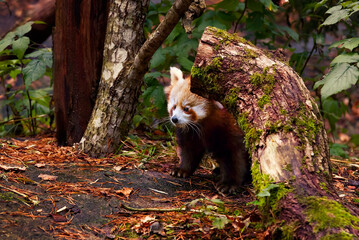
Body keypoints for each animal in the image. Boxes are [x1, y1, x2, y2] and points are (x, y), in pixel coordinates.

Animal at [166, 66, 250, 194]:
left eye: (186, 108)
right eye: (174, 106)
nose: (174, 119)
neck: (205, 124)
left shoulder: (230, 131)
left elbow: (234, 157)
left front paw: (229, 184)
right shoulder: (191, 132)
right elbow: (189, 150)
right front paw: (182, 169)